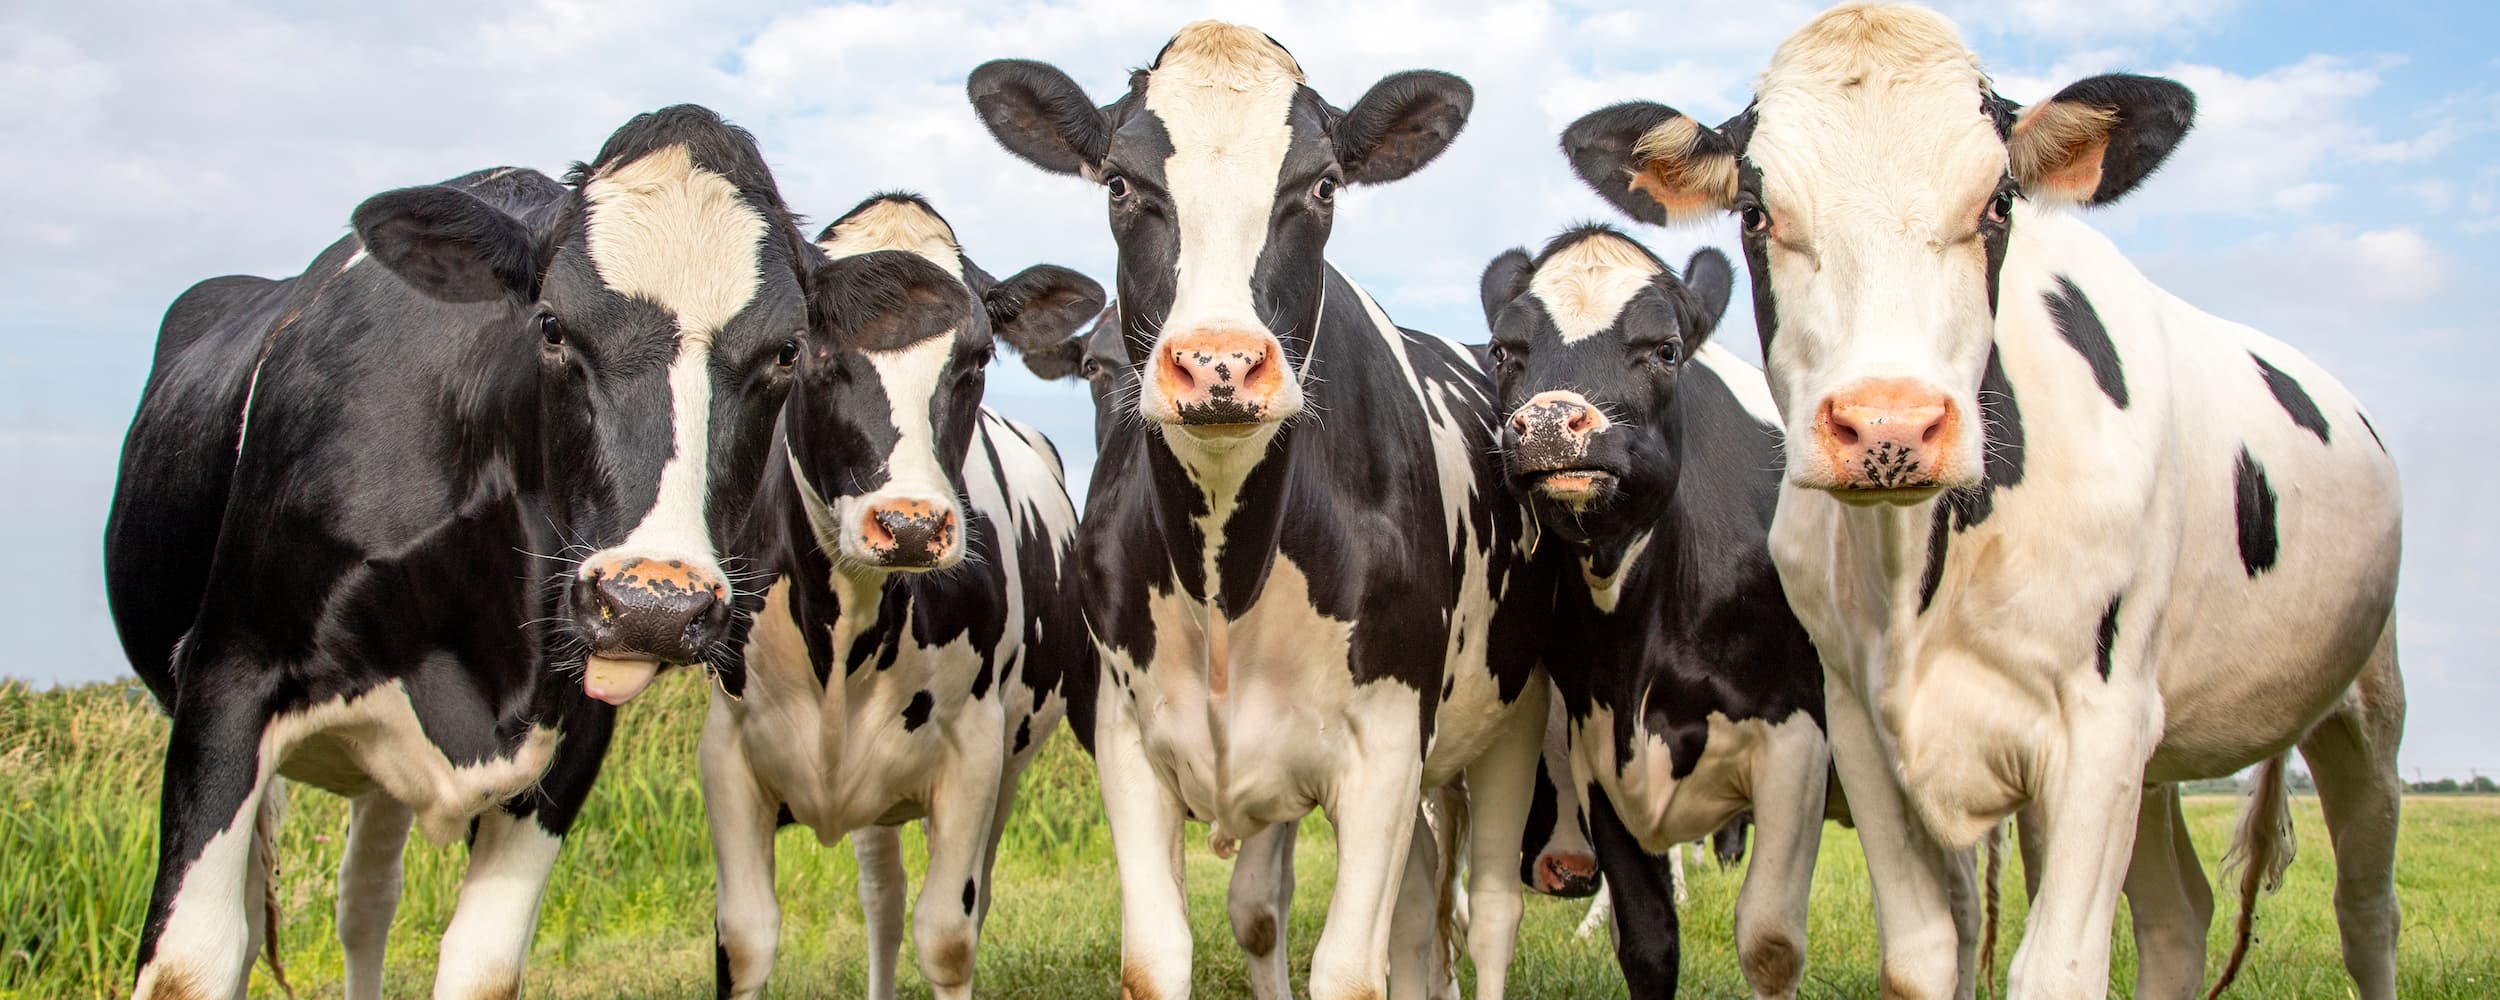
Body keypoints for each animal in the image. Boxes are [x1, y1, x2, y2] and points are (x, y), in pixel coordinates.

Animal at [101, 105, 815, 1000]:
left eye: (787, 351)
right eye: (551, 326)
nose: (653, 604)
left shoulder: (572, 730)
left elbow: (484, 965)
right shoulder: (227, 677)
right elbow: (189, 963)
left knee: (364, 900)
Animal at [698, 193, 1105, 1000]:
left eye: (977, 358)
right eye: (804, 350)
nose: (911, 525)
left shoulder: (974, 751)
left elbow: (948, 936)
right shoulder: (725, 747)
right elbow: (745, 942)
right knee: (881, 901)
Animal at [966, 21, 1557, 1000]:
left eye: (1321, 186)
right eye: (1120, 184)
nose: (1220, 363)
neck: (1225, 570)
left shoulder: (1386, 749)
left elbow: (1351, 969)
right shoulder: (1128, 740)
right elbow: (1174, 950)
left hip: (1513, 717)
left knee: (1492, 913)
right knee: (1416, 910)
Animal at [1482, 227, 1830, 998]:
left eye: (1665, 350)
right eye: (1503, 351)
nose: (1547, 425)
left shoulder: (1797, 740)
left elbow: (1770, 941)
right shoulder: (1600, 751)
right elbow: (1646, 940)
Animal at [1560, 4, 2405, 998]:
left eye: (1999, 203)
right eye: (1758, 214)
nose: (1889, 425)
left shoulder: (2102, 726)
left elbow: (2058, 968)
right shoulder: (1860, 725)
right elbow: (1925, 956)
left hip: (2365, 707)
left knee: (2366, 909)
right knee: (2177, 916)